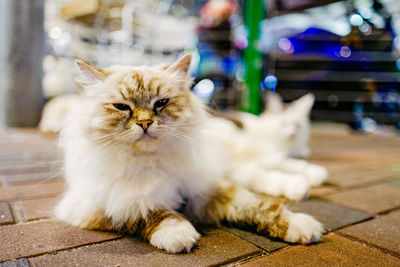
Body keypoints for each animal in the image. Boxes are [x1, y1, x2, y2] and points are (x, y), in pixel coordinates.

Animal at [53, 54, 324, 253]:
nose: (144, 124)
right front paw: (177, 233)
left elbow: (260, 207)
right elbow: (149, 212)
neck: (152, 161)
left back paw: (309, 180)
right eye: (121, 107)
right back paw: (304, 185)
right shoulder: (99, 206)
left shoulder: (207, 188)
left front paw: (300, 226)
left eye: (160, 103)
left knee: (276, 165)